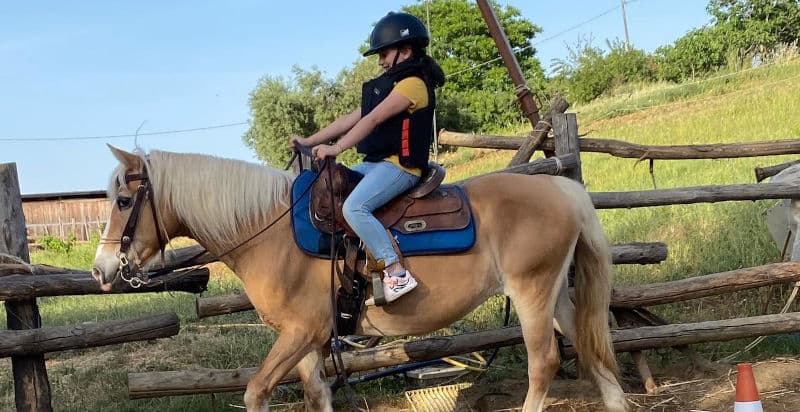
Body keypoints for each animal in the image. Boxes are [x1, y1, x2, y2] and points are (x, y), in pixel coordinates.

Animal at [92, 145, 628, 412]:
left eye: (125, 201)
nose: (100, 270)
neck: (268, 231)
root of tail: (562, 188)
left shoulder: (302, 332)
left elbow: (255, 392)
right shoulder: (305, 339)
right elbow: (316, 394)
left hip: (531, 293)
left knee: (543, 364)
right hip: (557, 296)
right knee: (594, 354)